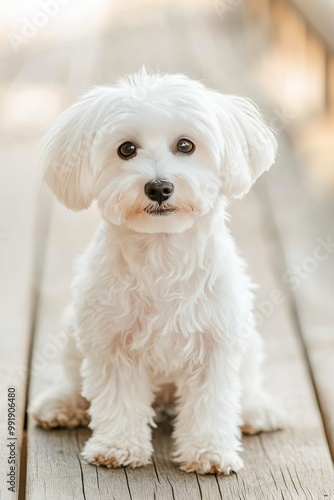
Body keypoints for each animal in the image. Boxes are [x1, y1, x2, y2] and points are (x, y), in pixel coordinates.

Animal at [30, 68, 284, 474]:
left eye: (185, 145)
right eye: (126, 149)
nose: (159, 187)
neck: (162, 251)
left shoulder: (216, 343)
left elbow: (212, 403)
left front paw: (209, 451)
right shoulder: (111, 342)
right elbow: (118, 401)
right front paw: (117, 446)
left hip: (248, 340)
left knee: (247, 382)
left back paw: (257, 409)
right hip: (73, 332)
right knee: (72, 378)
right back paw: (61, 403)